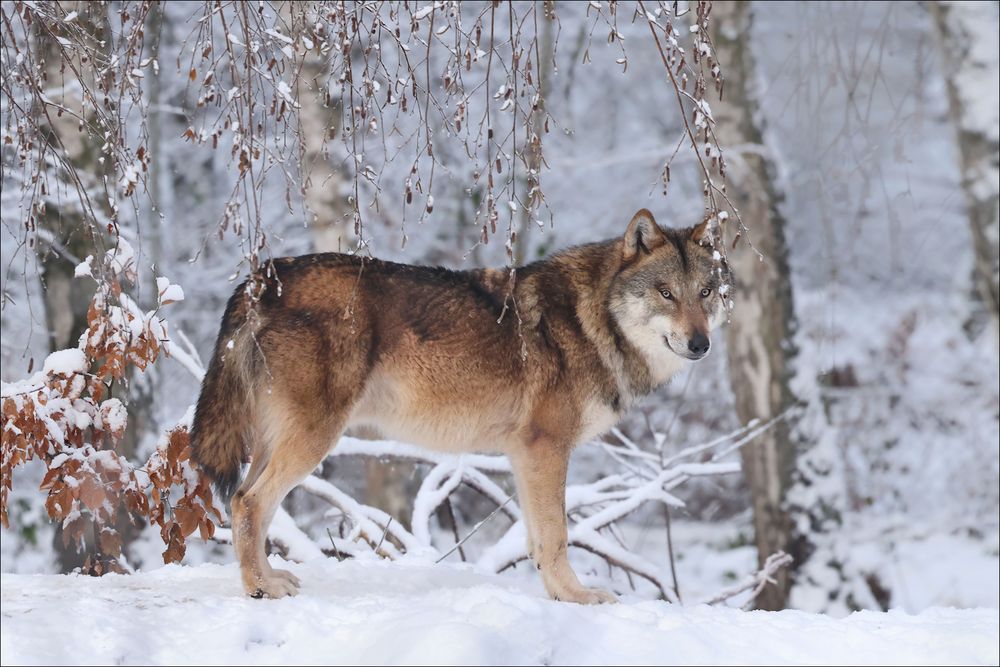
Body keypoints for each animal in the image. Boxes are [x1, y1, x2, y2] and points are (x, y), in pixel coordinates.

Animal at [191, 210, 732, 604]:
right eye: (666, 293)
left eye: (705, 293)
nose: (700, 344)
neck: (593, 319)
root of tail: (262, 278)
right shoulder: (546, 448)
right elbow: (557, 537)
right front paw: (578, 597)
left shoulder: (525, 456)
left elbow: (537, 540)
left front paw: (556, 596)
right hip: (313, 439)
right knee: (247, 502)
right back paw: (259, 589)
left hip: (277, 440)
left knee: (250, 504)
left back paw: (270, 578)